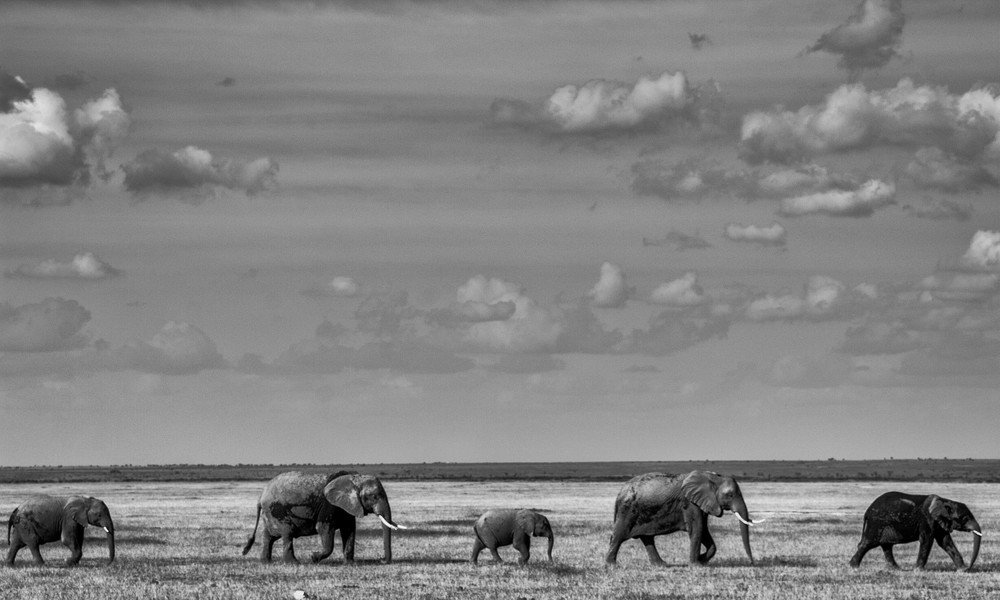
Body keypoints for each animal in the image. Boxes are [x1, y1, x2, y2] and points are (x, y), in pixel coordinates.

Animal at [242, 470, 405, 564]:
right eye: (374, 496)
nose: (382, 560)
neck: (353, 479)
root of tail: (261, 495)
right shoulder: (330, 505)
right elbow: (324, 529)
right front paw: (313, 558)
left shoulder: (346, 507)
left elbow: (349, 531)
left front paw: (350, 564)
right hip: (277, 510)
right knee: (287, 533)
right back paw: (294, 563)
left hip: (271, 513)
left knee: (269, 536)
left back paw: (265, 562)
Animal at [605, 471, 756, 566]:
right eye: (730, 495)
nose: (752, 563)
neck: (712, 477)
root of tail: (620, 492)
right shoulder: (690, 503)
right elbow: (697, 529)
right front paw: (696, 564)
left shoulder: (702, 503)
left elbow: (704, 530)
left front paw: (701, 560)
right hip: (627, 511)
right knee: (618, 536)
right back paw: (611, 565)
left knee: (647, 538)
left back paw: (661, 565)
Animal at [849, 491, 982, 571]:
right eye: (965, 518)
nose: (969, 567)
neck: (945, 501)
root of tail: (867, 511)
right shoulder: (927, 520)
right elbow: (927, 540)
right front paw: (919, 570)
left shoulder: (938, 522)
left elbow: (945, 542)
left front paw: (961, 570)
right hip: (876, 523)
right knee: (867, 543)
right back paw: (854, 567)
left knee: (886, 546)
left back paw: (896, 569)